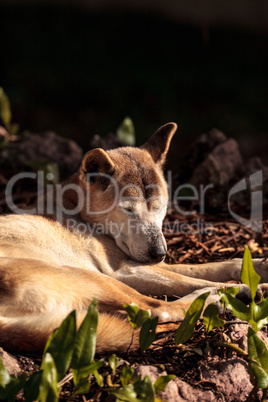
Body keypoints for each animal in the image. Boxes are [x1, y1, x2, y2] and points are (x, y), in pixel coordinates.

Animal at [0, 123, 268, 354]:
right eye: (128, 209)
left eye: (161, 207)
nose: (159, 253)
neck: (77, 211)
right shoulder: (125, 270)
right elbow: (195, 279)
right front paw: (246, 287)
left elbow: (212, 267)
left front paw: (258, 267)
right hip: (94, 278)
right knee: (158, 309)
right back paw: (216, 298)